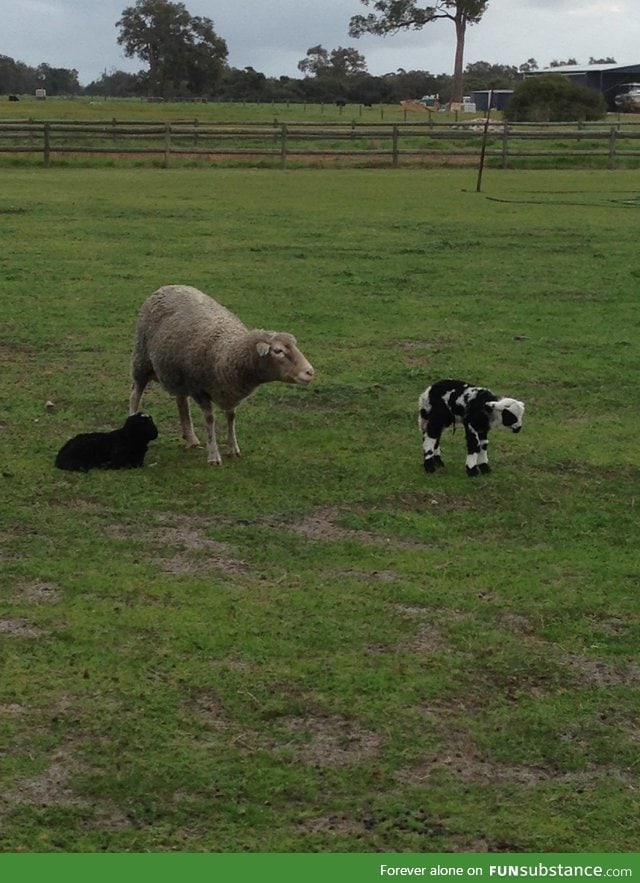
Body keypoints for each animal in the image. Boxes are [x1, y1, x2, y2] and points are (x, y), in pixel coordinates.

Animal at [129, 285, 315, 465]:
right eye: (278, 351)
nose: (310, 372)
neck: (225, 353)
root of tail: (166, 287)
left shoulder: (229, 390)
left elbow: (231, 417)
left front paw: (233, 448)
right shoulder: (199, 389)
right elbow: (210, 419)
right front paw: (214, 455)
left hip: (178, 375)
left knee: (181, 401)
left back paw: (191, 438)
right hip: (141, 360)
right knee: (135, 394)